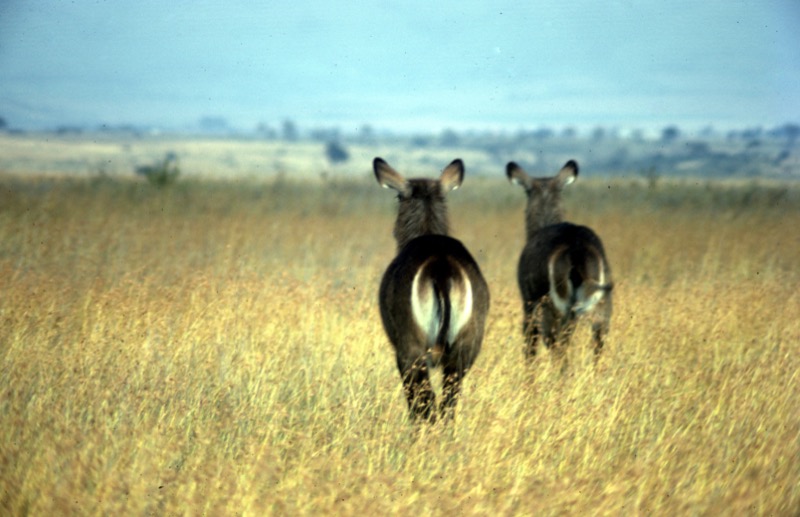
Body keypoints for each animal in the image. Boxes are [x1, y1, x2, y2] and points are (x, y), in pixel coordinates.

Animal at [378, 158, 490, 424]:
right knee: (448, 403)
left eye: (398, 196)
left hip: (412, 351)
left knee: (425, 404)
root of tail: (440, 264)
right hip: (464, 349)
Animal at [506, 159, 612, 368]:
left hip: (552, 310)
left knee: (559, 352)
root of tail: (576, 246)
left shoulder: (528, 305)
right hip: (601, 308)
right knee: (597, 347)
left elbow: (529, 349)